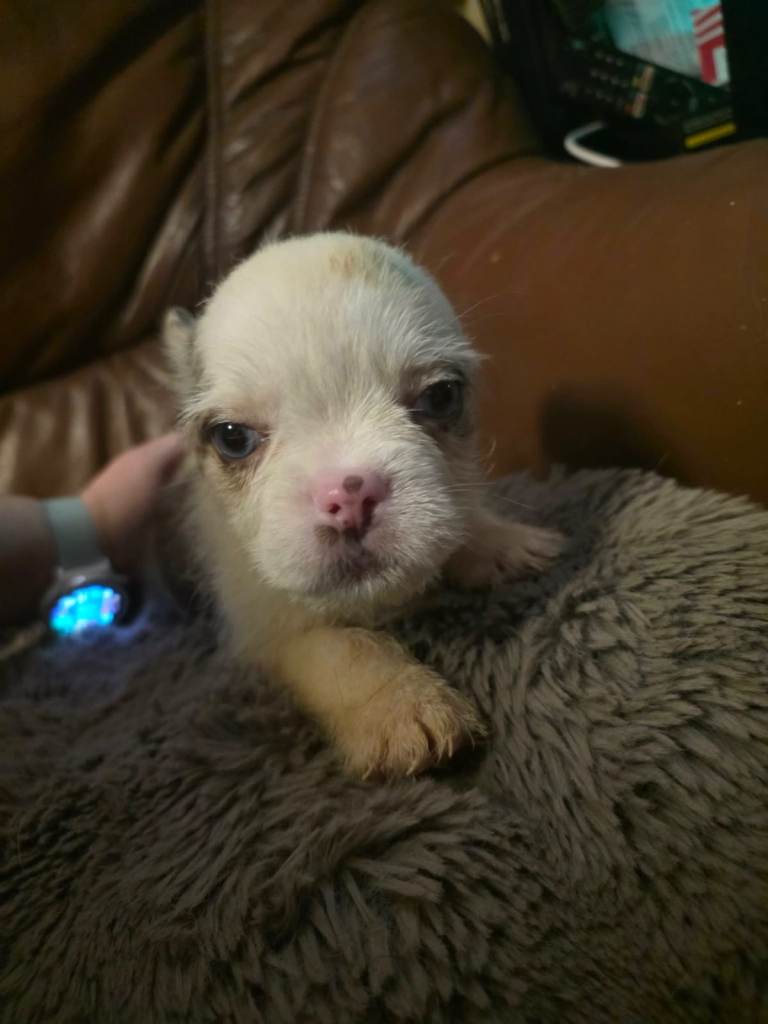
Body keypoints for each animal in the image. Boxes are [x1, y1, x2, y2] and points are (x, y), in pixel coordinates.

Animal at [164, 232, 562, 778]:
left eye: (441, 397)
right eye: (233, 438)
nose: (349, 495)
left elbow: (463, 516)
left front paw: (498, 540)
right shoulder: (263, 624)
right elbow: (336, 646)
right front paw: (400, 704)